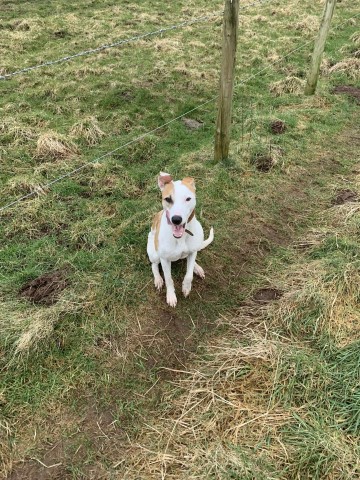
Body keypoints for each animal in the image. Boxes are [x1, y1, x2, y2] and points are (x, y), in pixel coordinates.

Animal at [147, 172, 214, 308]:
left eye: (188, 199)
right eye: (168, 199)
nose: (176, 219)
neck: (181, 237)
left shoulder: (193, 252)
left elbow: (189, 275)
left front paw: (186, 288)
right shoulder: (164, 259)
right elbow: (169, 279)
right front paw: (171, 296)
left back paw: (197, 268)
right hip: (154, 252)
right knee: (154, 265)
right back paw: (158, 279)